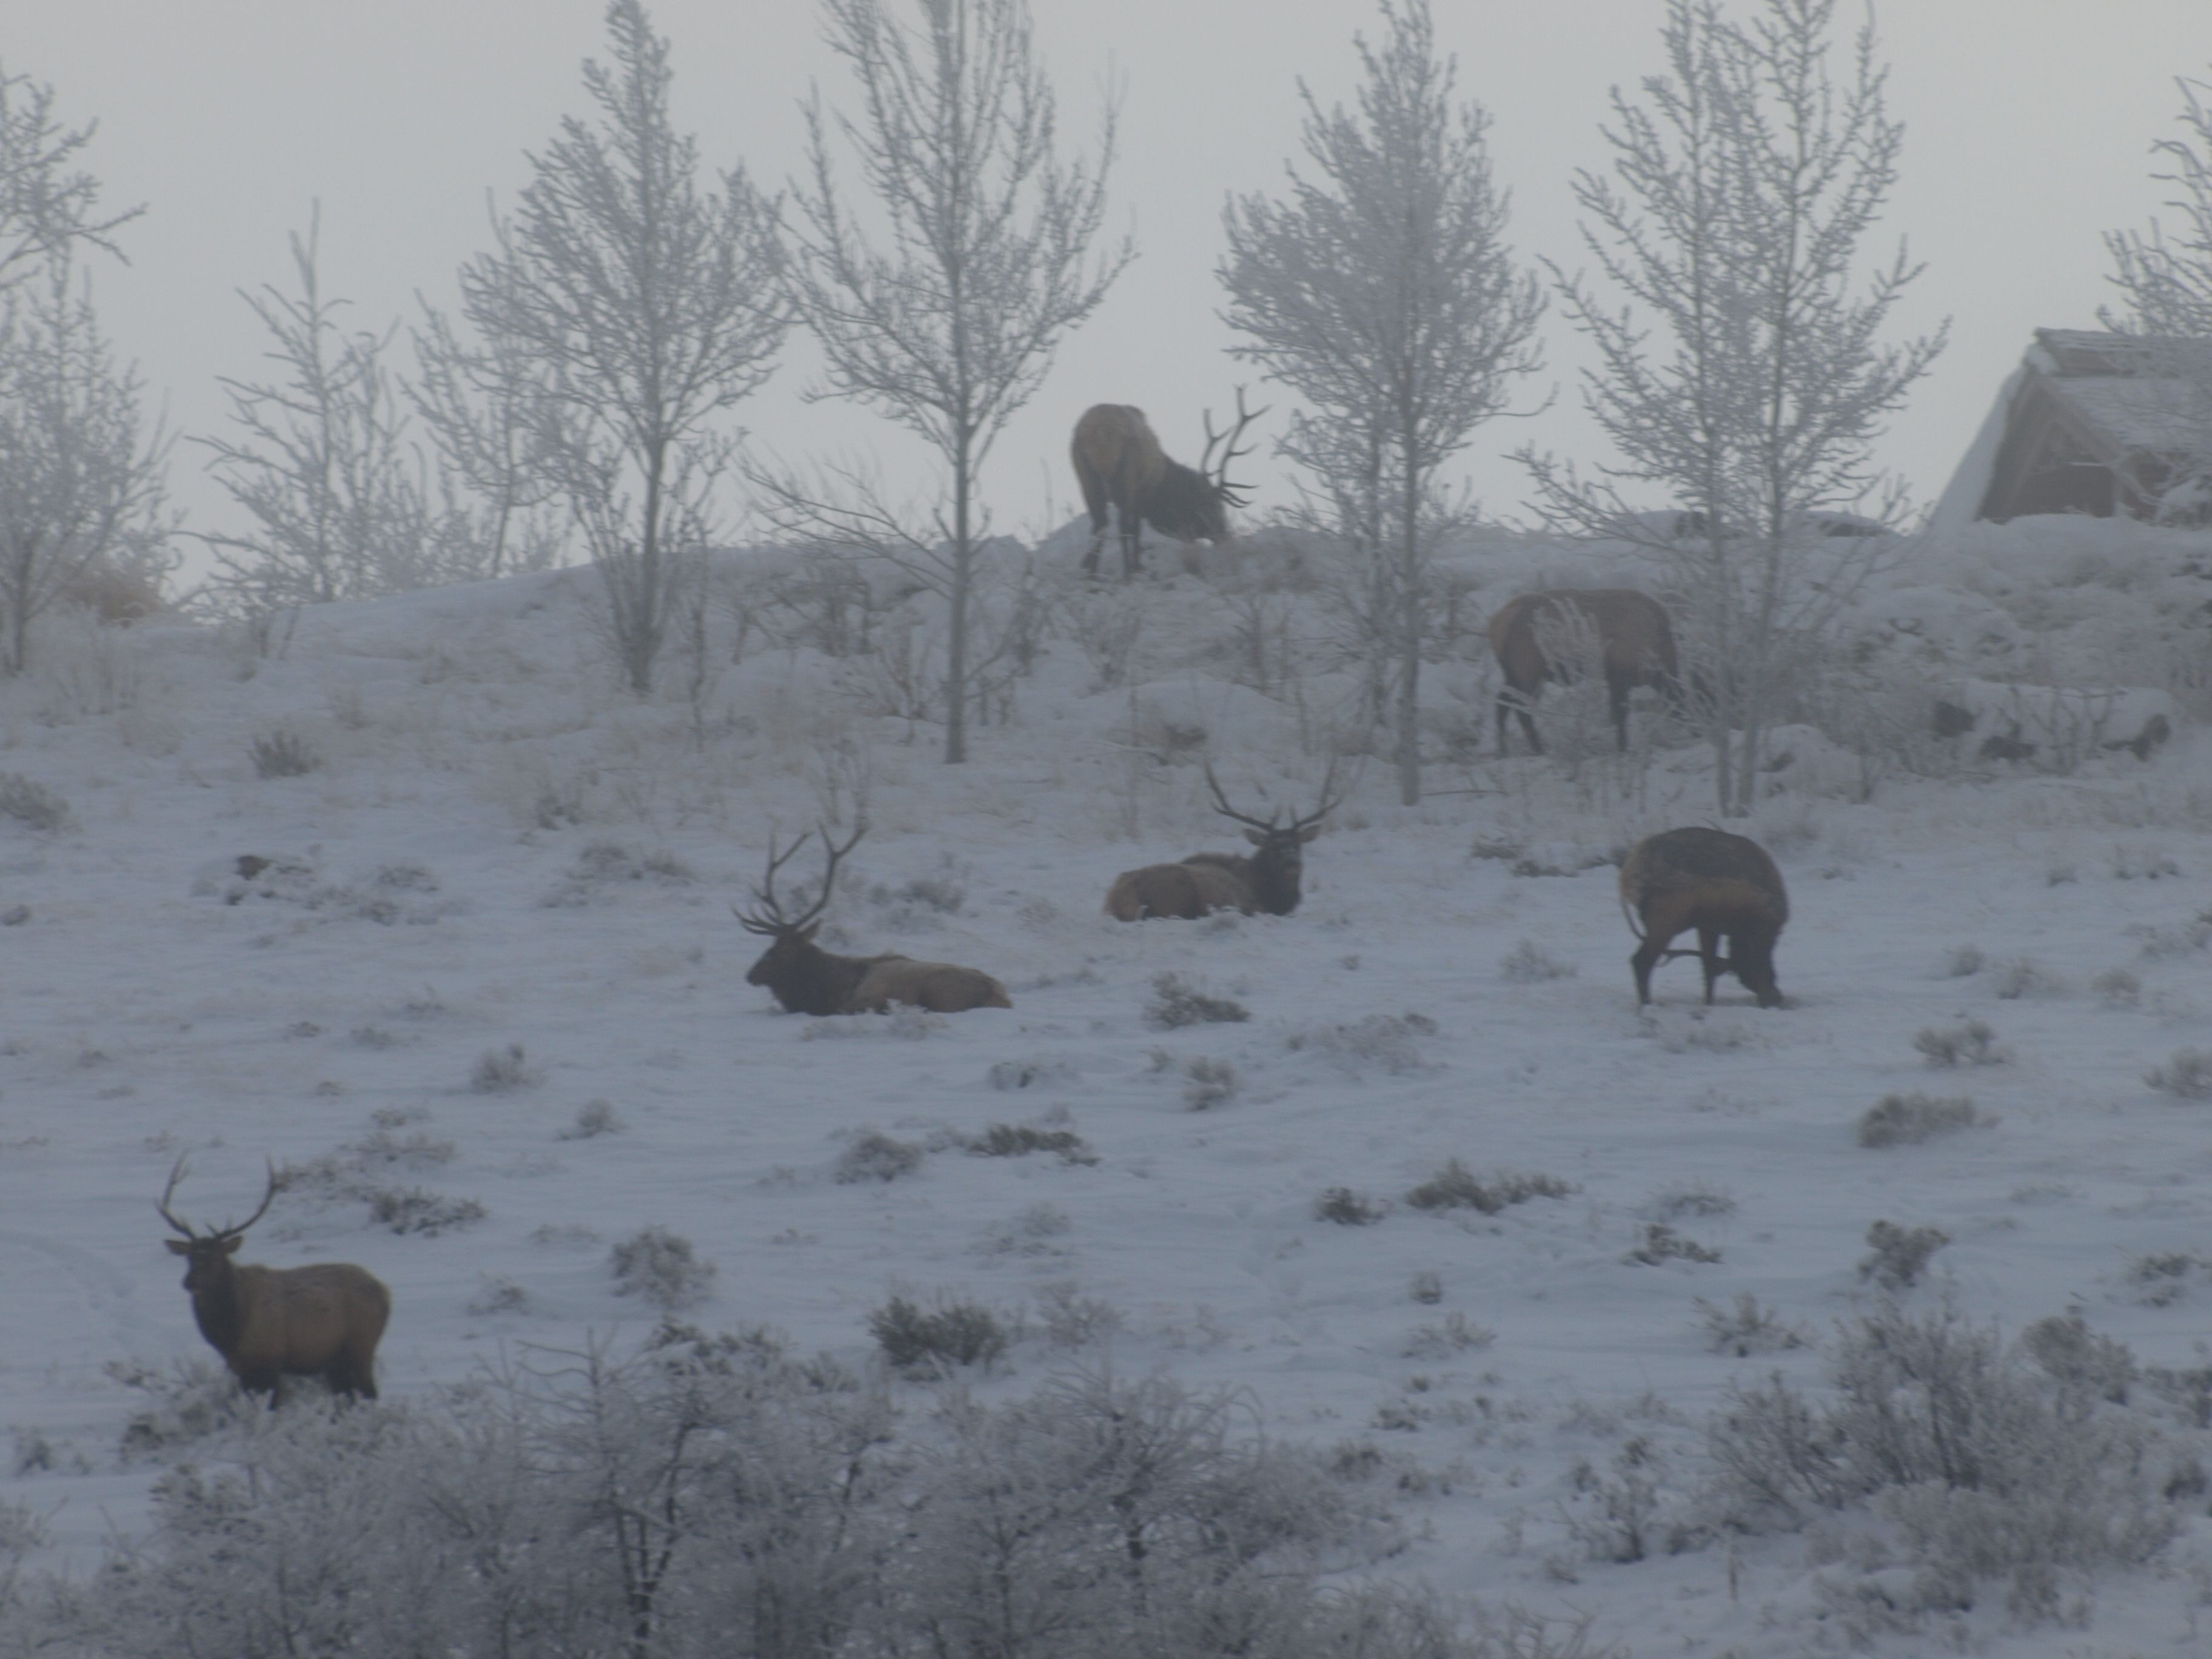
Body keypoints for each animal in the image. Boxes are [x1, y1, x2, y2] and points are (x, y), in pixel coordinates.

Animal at [158, 1157, 392, 1405]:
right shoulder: (241, 1368)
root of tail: (386, 1292)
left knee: (370, 1392)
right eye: (190, 1257)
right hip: (336, 1362)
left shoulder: (271, 1360)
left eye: (216, 1257)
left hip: (362, 1345)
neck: (230, 1334)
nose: (189, 1282)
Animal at [1072, 391, 1265, 580]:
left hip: (1086, 475)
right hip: (1126, 476)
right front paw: (1136, 567)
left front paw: (1087, 563)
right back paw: (1126, 573)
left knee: (1100, 522)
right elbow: (1135, 531)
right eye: (1213, 506)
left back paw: (1092, 573)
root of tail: (1101, 432)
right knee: (1119, 525)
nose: (1225, 535)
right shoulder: (1140, 497)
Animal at [1105, 763, 1346, 920]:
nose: (1291, 862)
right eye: (1272, 846)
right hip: (1178, 896)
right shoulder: (1254, 906)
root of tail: (1119, 896)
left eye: (1298, 844)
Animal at [1489, 588, 1682, 755]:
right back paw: (1538, 750)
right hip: (1529, 674)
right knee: (1521, 711)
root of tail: (1496, 623)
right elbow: (1620, 714)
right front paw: (1622, 747)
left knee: (1502, 705)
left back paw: (1503, 750)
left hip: (1514, 675)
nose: (1690, 723)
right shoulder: (1618, 676)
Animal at [1618, 827, 1789, 1009]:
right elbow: (1761, 968)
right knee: (1641, 961)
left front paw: (1708, 1004)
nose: (1778, 997)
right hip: (1666, 917)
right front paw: (1765, 1003)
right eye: (1743, 975)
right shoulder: (1761, 930)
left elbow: (1709, 968)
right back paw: (1646, 1004)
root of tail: (1627, 876)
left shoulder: (1709, 926)